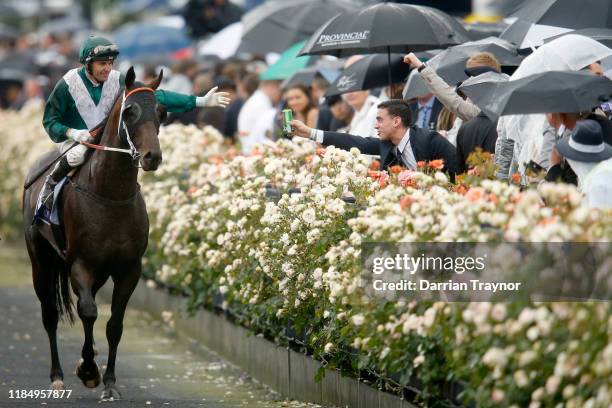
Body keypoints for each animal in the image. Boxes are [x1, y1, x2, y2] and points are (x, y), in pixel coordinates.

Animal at [23, 67, 164, 402]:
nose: (151, 156)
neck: (110, 197)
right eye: (130, 111)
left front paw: (109, 382)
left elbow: (114, 324)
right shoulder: (80, 264)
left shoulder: (128, 269)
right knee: (50, 314)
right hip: (41, 263)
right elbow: (88, 311)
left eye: (161, 112)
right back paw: (58, 376)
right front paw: (88, 370)